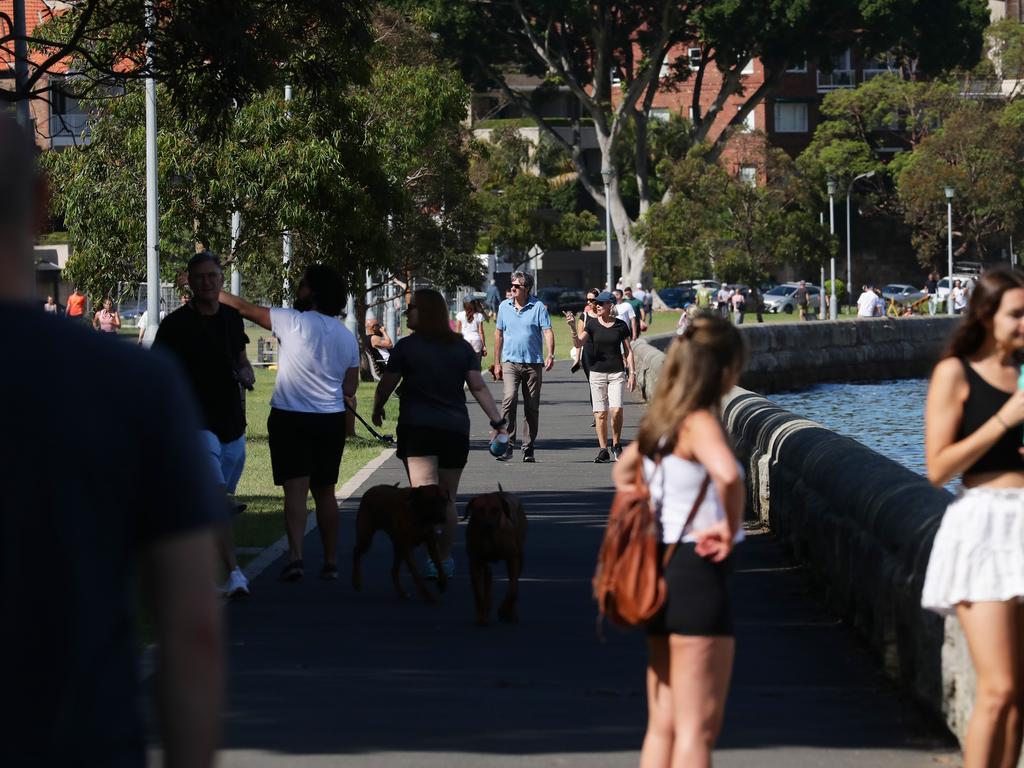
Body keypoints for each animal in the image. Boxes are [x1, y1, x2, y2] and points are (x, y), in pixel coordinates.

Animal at [464, 487, 528, 626]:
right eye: (479, 509)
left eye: (496, 510)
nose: (487, 526)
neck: (489, 537)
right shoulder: (475, 561)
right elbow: (478, 592)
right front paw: (481, 615)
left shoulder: (512, 559)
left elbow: (513, 589)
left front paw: (504, 609)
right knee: (488, 578)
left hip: (520, 555)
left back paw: (510, 612)